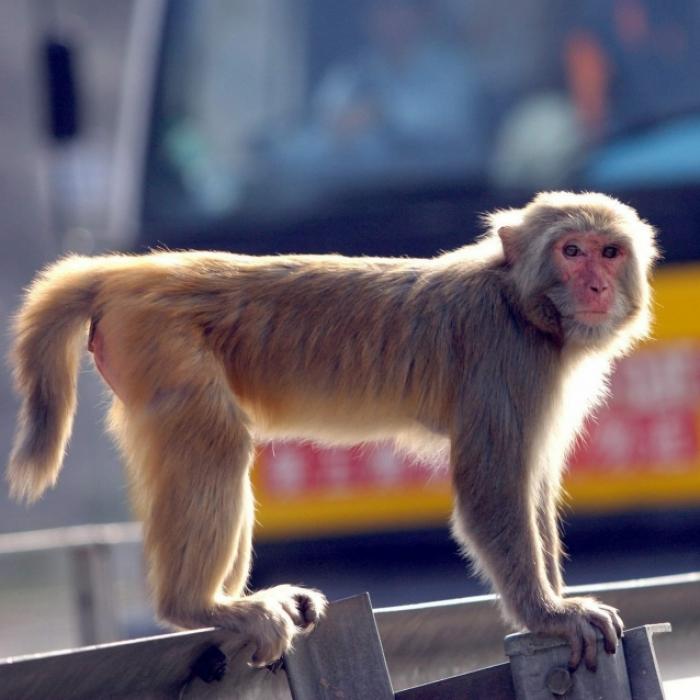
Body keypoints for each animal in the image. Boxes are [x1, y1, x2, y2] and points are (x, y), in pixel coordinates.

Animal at [6, 191, 657, 670]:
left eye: (609, 251)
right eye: (571, 250)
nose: (596, 286)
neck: (522, 305)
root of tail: (129, 270)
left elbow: (533, 483)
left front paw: (556, 600)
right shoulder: (507, 357)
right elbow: (491, 488)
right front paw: (550, 615)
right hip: (162, 342)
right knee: (216, 440)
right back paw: (200, 606)